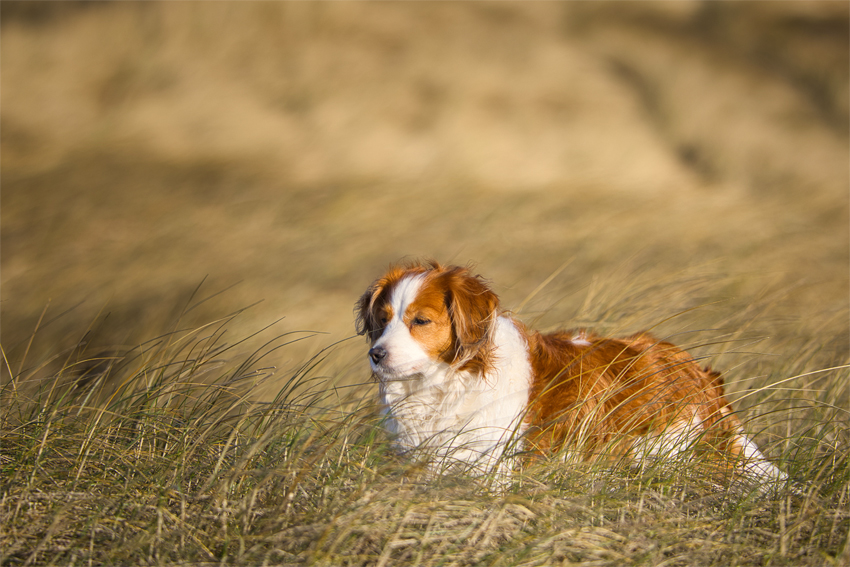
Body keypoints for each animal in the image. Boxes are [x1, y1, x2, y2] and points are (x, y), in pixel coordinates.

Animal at [352, 260, 780, 486]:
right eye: (382, 320)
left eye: (421, 321)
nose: (376, 355)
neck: (450, 384)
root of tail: (695, 369)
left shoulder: (491, 470)